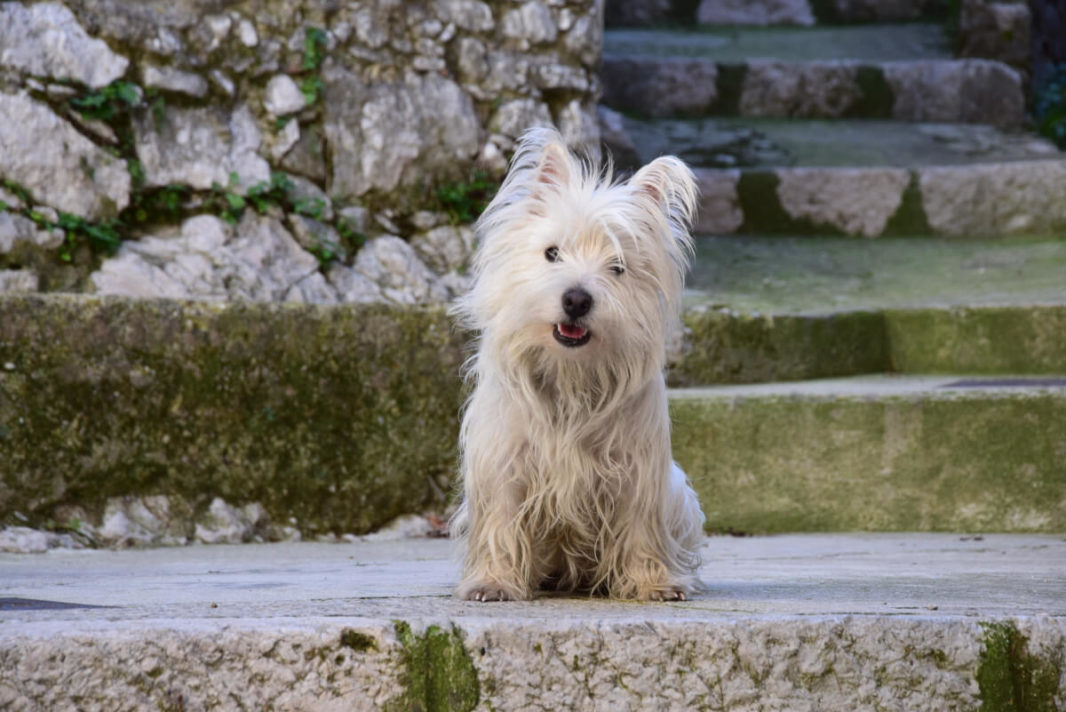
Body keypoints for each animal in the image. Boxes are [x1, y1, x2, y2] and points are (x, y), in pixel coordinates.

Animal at [451, 127, 707, 601]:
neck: (571, 372)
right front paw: (493, 580)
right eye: (552, 252)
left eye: (618, 266)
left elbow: (640, 524)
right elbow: (500, 519)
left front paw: (651, 582)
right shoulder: (505, 462)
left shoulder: (636, 467)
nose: (576, 299)